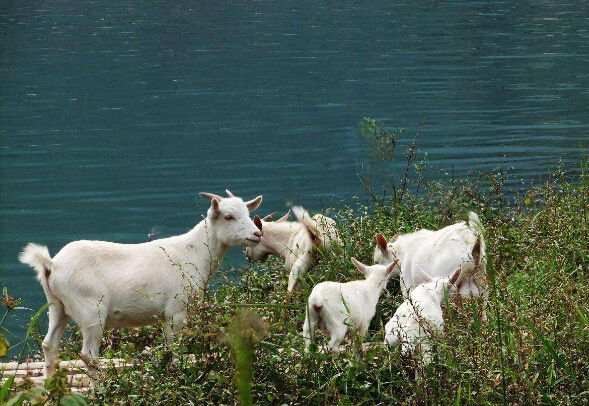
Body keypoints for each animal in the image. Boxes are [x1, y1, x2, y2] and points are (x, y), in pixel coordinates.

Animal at [19, 190, 262, 378]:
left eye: (248, 213)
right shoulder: (176, 310)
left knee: (49, 345)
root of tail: (52, 264)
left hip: (57, 305)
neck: (193, 252)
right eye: (228, 216)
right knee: (88, 355)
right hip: (91, 310)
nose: (257, 234)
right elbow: (175, 348)